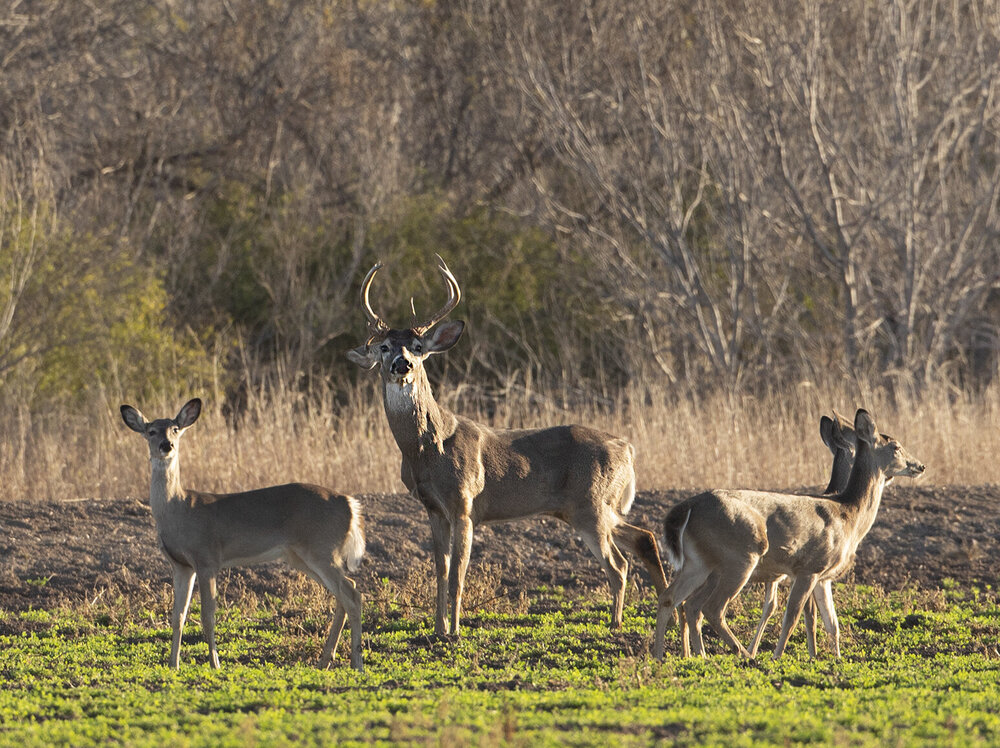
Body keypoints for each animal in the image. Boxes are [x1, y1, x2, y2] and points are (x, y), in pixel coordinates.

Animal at [121, 398, 365, 670]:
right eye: (151, 431)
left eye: (175, 429)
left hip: (321, 549)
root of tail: (350, 504)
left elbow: (207, 615)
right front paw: (173, 664)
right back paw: (325, 660)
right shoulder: (181, 565)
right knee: (345, 592)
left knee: (352, 594)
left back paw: (356, 662)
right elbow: (178, 616)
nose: (167, 445)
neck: (179, 510)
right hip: (303, 556)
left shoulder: (207, 558)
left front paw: (215, 663)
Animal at [347, 255, 667, 636]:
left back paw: (616, 622)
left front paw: (455, 631)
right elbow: (439, 572)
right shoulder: (432, 508)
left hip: (590, 504)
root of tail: (627, 448)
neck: (427, 451)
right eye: (384, 347)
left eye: (419, 347)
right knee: (644, 537)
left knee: (618, 564)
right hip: (596, 506)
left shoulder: (464, 502)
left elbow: (457, 576)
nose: (403, 364)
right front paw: (438, 629)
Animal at [653, 409, 924, 660]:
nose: (921, 465)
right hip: (740, 556)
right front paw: (778, 656)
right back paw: (744, 655)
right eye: (896, 446)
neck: (848, 515)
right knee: (711, 607)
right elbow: (793, 617)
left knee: (676, 599)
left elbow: (832, 622)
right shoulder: (809, 567)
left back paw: (669, 656)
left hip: (700, 562)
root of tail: (687, 508)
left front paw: (835, 660)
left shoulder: (822, 576)